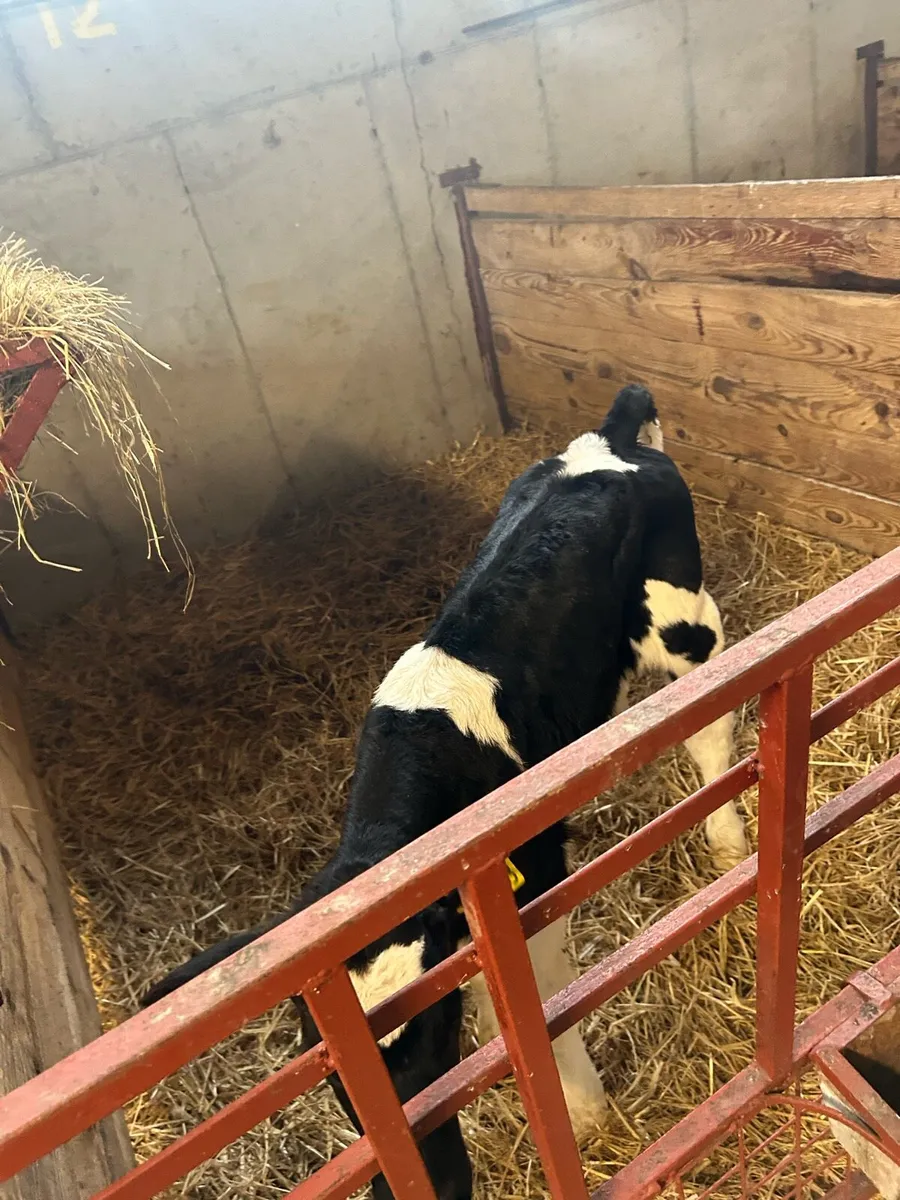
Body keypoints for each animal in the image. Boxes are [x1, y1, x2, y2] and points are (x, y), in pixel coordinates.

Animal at [141, 385, 747, 1199]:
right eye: (324, 1062)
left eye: (432, 1029)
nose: (437, 1181)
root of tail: (607, 437)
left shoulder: (533, 878)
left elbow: (540, 1001)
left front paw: (586, 1114)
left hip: (681, 614)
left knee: (710, 717)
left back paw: (729, 840)